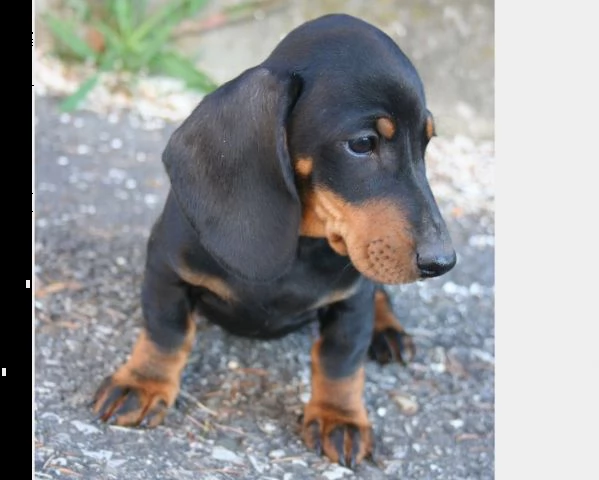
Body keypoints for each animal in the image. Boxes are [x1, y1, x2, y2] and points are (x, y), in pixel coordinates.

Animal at [94, 14, 458, 468]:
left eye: (427, 143)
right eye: (362, 144)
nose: (443, 262)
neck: (302, 242)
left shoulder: (351, 299)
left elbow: (341, 360)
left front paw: (339, 416)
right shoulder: (165, 269)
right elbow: (166, 332)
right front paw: (143, 382)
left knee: (382, 298)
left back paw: (389, 333)